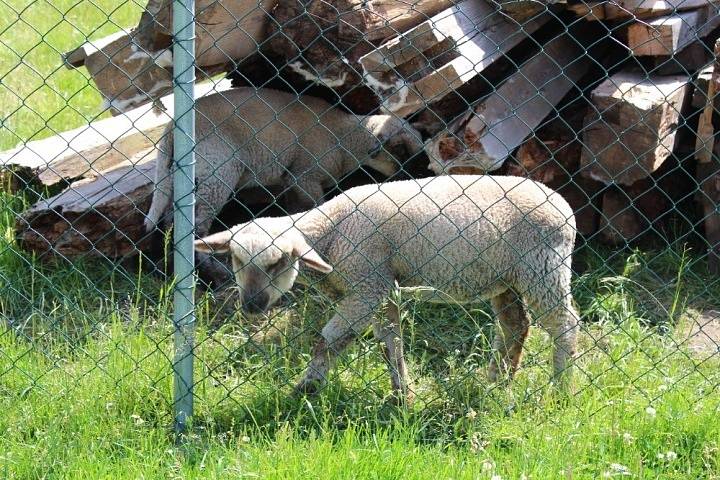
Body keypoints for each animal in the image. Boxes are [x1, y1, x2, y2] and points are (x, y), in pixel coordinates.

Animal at [194, 174, 584, 404]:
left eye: (278, 262)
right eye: (236, 259)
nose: (251, 306)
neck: (331, 232)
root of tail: (563, 206)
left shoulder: (368, 287)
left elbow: (329, 340)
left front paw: (305, 389)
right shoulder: (380, 290)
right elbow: (390, 343)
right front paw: (401, 395)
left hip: (543, 270)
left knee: (565, 326)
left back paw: (560, 390)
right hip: (506, 278)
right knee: (516, 325)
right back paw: (496, 382)